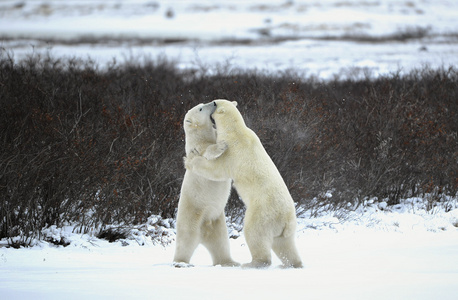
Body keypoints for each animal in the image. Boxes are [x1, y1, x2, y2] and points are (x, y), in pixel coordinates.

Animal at [173, 103, 240, 268]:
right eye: (201, 109)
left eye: (202, 104)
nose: (214, 103)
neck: (201, 135)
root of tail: (203, 233)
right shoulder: (198, 148)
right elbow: (208, 153)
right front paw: (221, 145)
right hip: (191, 216)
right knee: (185, 240)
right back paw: (181, 263)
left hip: (216, 220)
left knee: (221, 242)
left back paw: (230, 262)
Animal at [184, 99, 302, 268]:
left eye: (215, 103)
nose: (212, 101)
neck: (236, 131)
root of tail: (286, 220)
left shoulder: (231, 152)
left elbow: (215, 170)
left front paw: (191, 160)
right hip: (286, 228)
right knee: (285, 245)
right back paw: (292, 264)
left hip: (262, 213)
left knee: (255, 233)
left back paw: (253, 263)